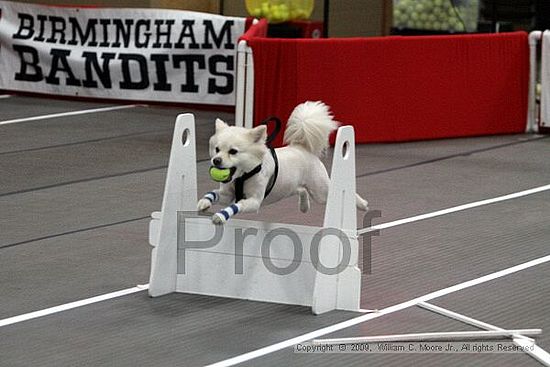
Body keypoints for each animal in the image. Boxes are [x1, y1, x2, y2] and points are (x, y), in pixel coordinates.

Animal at [196, 100, 368, 224]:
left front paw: (220, 216)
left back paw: (363, 204)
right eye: (217, 149)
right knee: (301, 190)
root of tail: (302, 147)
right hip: (293, 186)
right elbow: (214, 194)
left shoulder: (254, 201)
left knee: (340, 193)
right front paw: (203, 203)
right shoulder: (226, 195)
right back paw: (304, 207)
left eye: (233, 151)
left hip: (321, 192)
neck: (242, 175)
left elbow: (236, 206)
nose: (216, 160)